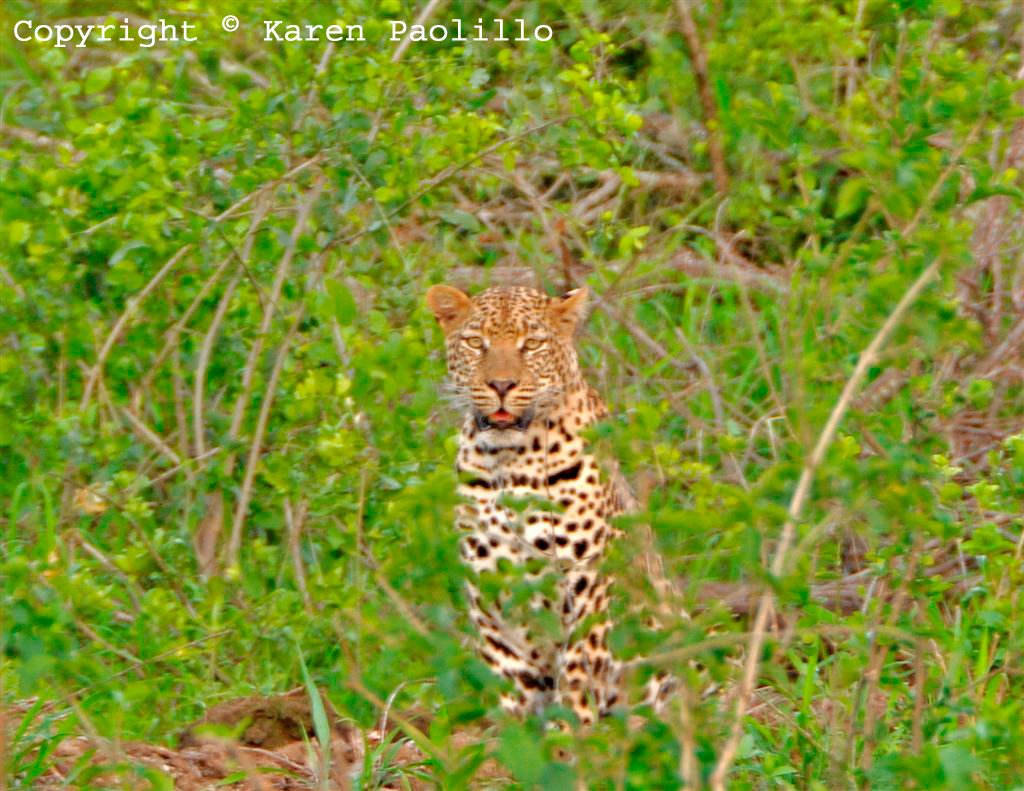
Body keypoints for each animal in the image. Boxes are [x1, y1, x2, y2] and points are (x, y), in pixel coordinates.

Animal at [426, 283, 665, 726]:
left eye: (532, 344)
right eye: (476, 343)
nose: (502, 384)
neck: (509, 461)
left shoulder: (589, 583)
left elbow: (577, 675)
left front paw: (568, 735)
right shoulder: (491, 591)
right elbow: (510, 683)